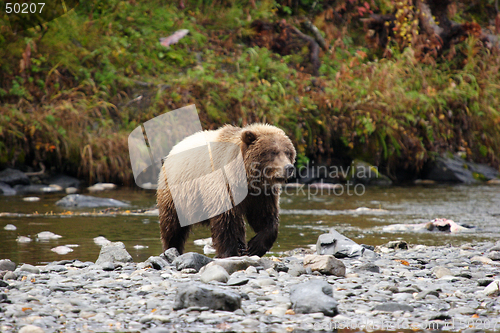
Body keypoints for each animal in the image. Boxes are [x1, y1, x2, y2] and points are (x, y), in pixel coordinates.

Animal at [158, 123, 294, 255]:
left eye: (288, 152)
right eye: (273, 152)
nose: (289, 167)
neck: (244, 178)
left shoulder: (261, 193)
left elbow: (264, 216)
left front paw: (254, 246)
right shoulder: (224, 186)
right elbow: (226, 221)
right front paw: (231, 251)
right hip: (176, 194)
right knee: (172, 225)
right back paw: (171, 247)